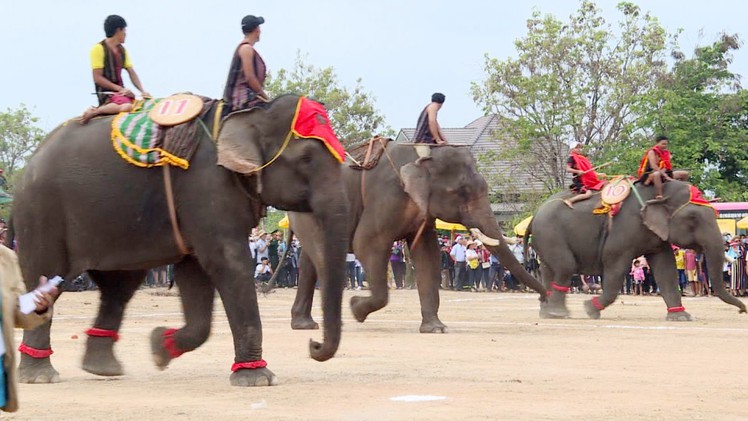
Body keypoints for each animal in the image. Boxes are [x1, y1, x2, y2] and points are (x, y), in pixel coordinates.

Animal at [8, 94, 350, 388]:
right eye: (306, 158)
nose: (313, 344)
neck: (249, 113)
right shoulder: (207, 187)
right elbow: (229, 262)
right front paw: (257, 379)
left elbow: (195, 271)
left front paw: (159, 347)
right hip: (42, 213)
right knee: (47, 280)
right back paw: (40, 376)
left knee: (119, 287)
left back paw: (103, 369)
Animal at [286, 143, 544, 334]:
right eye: (462, 192)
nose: (544, 300)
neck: (421, 156)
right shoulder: (386, 197)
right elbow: (366, 243)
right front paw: (356, 310)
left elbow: (427, 254)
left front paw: (436, 329)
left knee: (310, 261)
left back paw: (304, 325)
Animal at [528, 179, 744, 320]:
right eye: (693, 218)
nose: (743, 311)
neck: (659, 191)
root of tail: (535, 213)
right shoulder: (623, 230)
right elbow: (614, 263)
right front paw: (590, 309)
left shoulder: (657, 236)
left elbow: (666, 269)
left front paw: (682, 317)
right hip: (550, 234)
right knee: (566, 267)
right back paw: (557, 313)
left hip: (546, 239)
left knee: (550, 270)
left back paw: (548, 313)